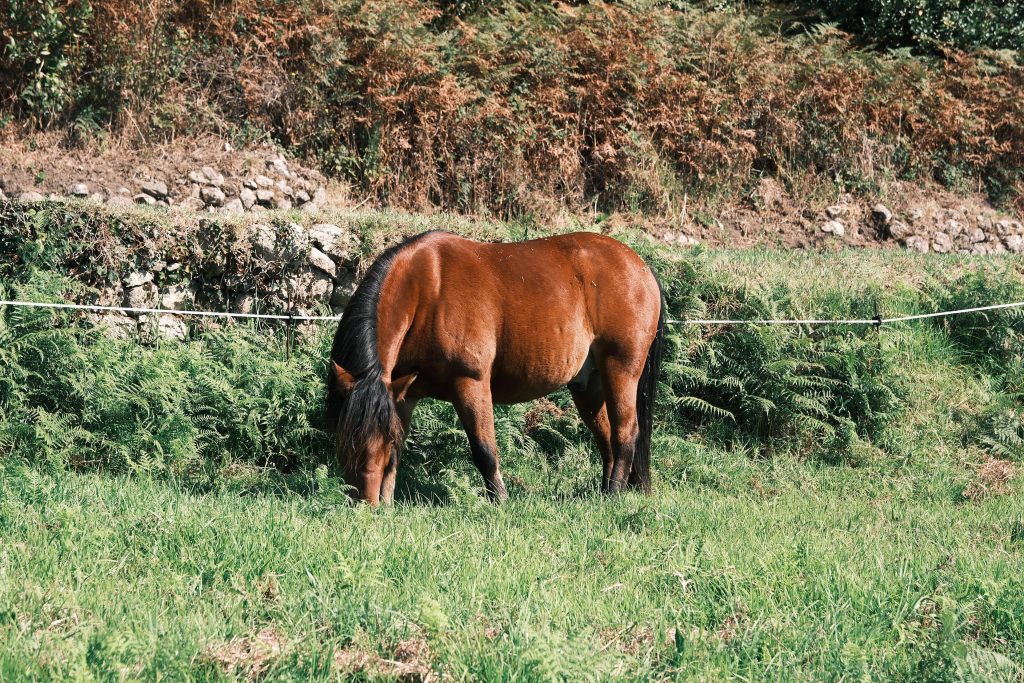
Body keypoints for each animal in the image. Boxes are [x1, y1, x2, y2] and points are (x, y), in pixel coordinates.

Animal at [325, 230, 665, 505]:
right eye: (344, 440)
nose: (364, 504)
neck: (427, 289)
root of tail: (639, 266)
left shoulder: (470, 383)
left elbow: (484, 450)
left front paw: (499, 501)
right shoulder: (403, 393)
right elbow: (397, 453)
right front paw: (388, 502)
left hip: (621, 371)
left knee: (625, 433)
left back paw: (614, 494)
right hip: (588, 385)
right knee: (606, 437)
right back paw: (605, 491)